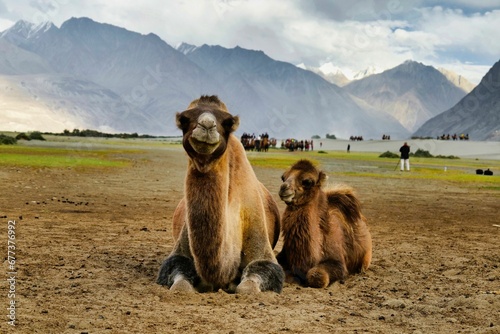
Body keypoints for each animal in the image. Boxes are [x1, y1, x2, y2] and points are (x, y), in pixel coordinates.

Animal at [158, 95, 284, 294]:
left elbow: (247, 287)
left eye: (228, 122)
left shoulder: (262, 245)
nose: (207, 125)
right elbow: (180, 284)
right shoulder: (179, 252)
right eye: (184, 119)